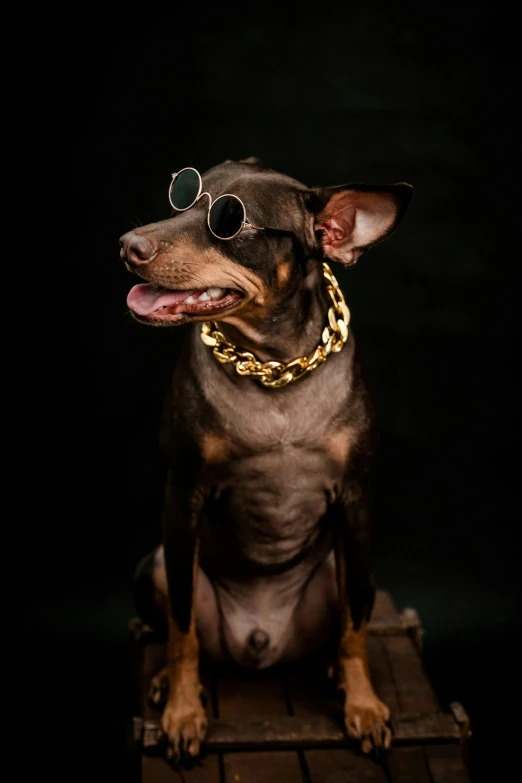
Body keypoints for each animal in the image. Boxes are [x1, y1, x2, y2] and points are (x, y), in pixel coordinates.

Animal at [121, 156, 410, 764]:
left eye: (230, 223)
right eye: (182, 198)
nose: (128, 245)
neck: (274, 367)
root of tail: (261, 643)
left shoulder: (356, 502)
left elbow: (355, 627)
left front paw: (363, 706)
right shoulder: (182, 498)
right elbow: (182, 629)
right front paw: (183, 712)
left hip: (351, 566)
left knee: (349, 615)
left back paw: (335, 673)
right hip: (154, 563)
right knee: (180, 626)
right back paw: (166, 682)